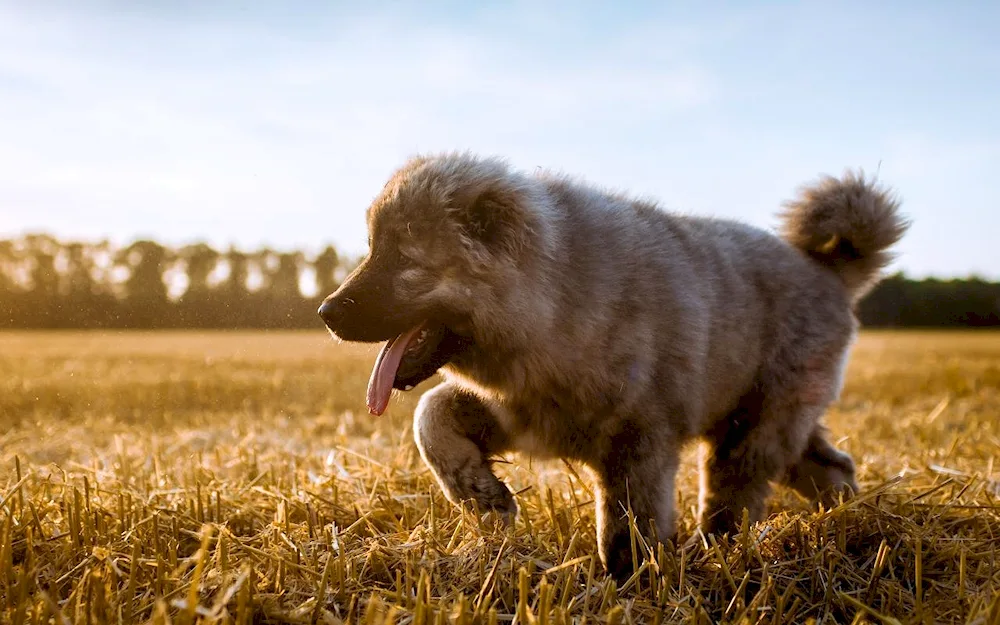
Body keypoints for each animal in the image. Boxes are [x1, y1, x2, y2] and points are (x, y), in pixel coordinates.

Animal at [318, 152, 908, 580]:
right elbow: (432, 415)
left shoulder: (640, 439)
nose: (326, 312)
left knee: (733, 499)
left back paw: (717, 554)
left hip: (752, 430)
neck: (553, 301)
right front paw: (481, 494)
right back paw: (854, 520)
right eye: (371, 249)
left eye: (403, 259)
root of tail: (827, 271)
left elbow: (629, 523)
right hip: (765, 423)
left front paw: (630, 583)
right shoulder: (520, 412)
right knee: (831, 466)